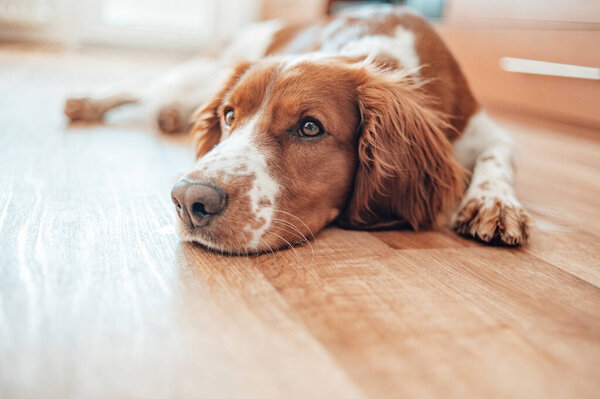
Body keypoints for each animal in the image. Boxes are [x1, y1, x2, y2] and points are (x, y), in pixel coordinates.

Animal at [64, 4, 528, 255]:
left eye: (309, 127)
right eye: (229, 116)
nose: (189, 200)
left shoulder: (482, 128)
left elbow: (498, 155)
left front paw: (495, 203)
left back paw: (170, 114)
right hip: (203, 70)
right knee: (144, 84)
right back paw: (86, 102)